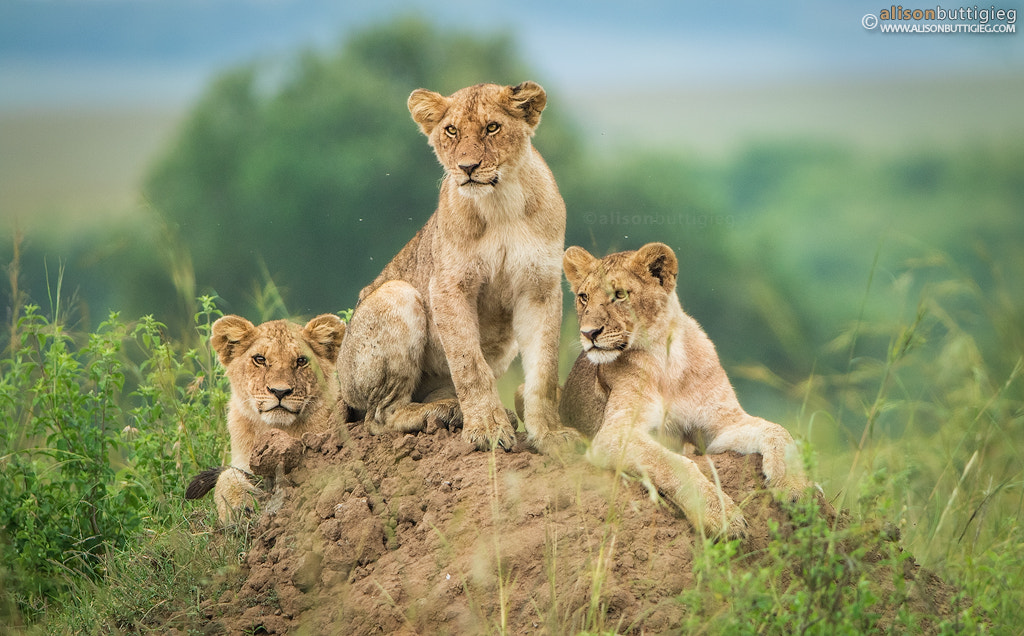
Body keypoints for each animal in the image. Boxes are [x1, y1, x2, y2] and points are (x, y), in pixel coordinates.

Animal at [185, 314, 346, 523]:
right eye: (260, 359)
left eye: (301, 360)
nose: (280, 391)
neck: (277, 428)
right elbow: (227, 476)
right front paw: (238, 508)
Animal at [336, 81, 579, 453]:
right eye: (451, 131)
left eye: (492, 127)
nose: (467, 167)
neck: (500, 204)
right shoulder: (449, 285)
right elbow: (469, 365)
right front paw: (488, 431)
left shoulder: (539, 287)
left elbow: (544, 369)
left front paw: (551, 435)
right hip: (397, 294)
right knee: (379, 416)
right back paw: (443, 412)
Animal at [560, 242, 813, 537]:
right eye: (584, 297)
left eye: (619, 295)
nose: (588, 333)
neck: (666, 360)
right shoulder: (613, 434)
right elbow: (674, 463)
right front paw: (723, 516)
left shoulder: (720, 428)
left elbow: (777, 431)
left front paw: (797, 487)